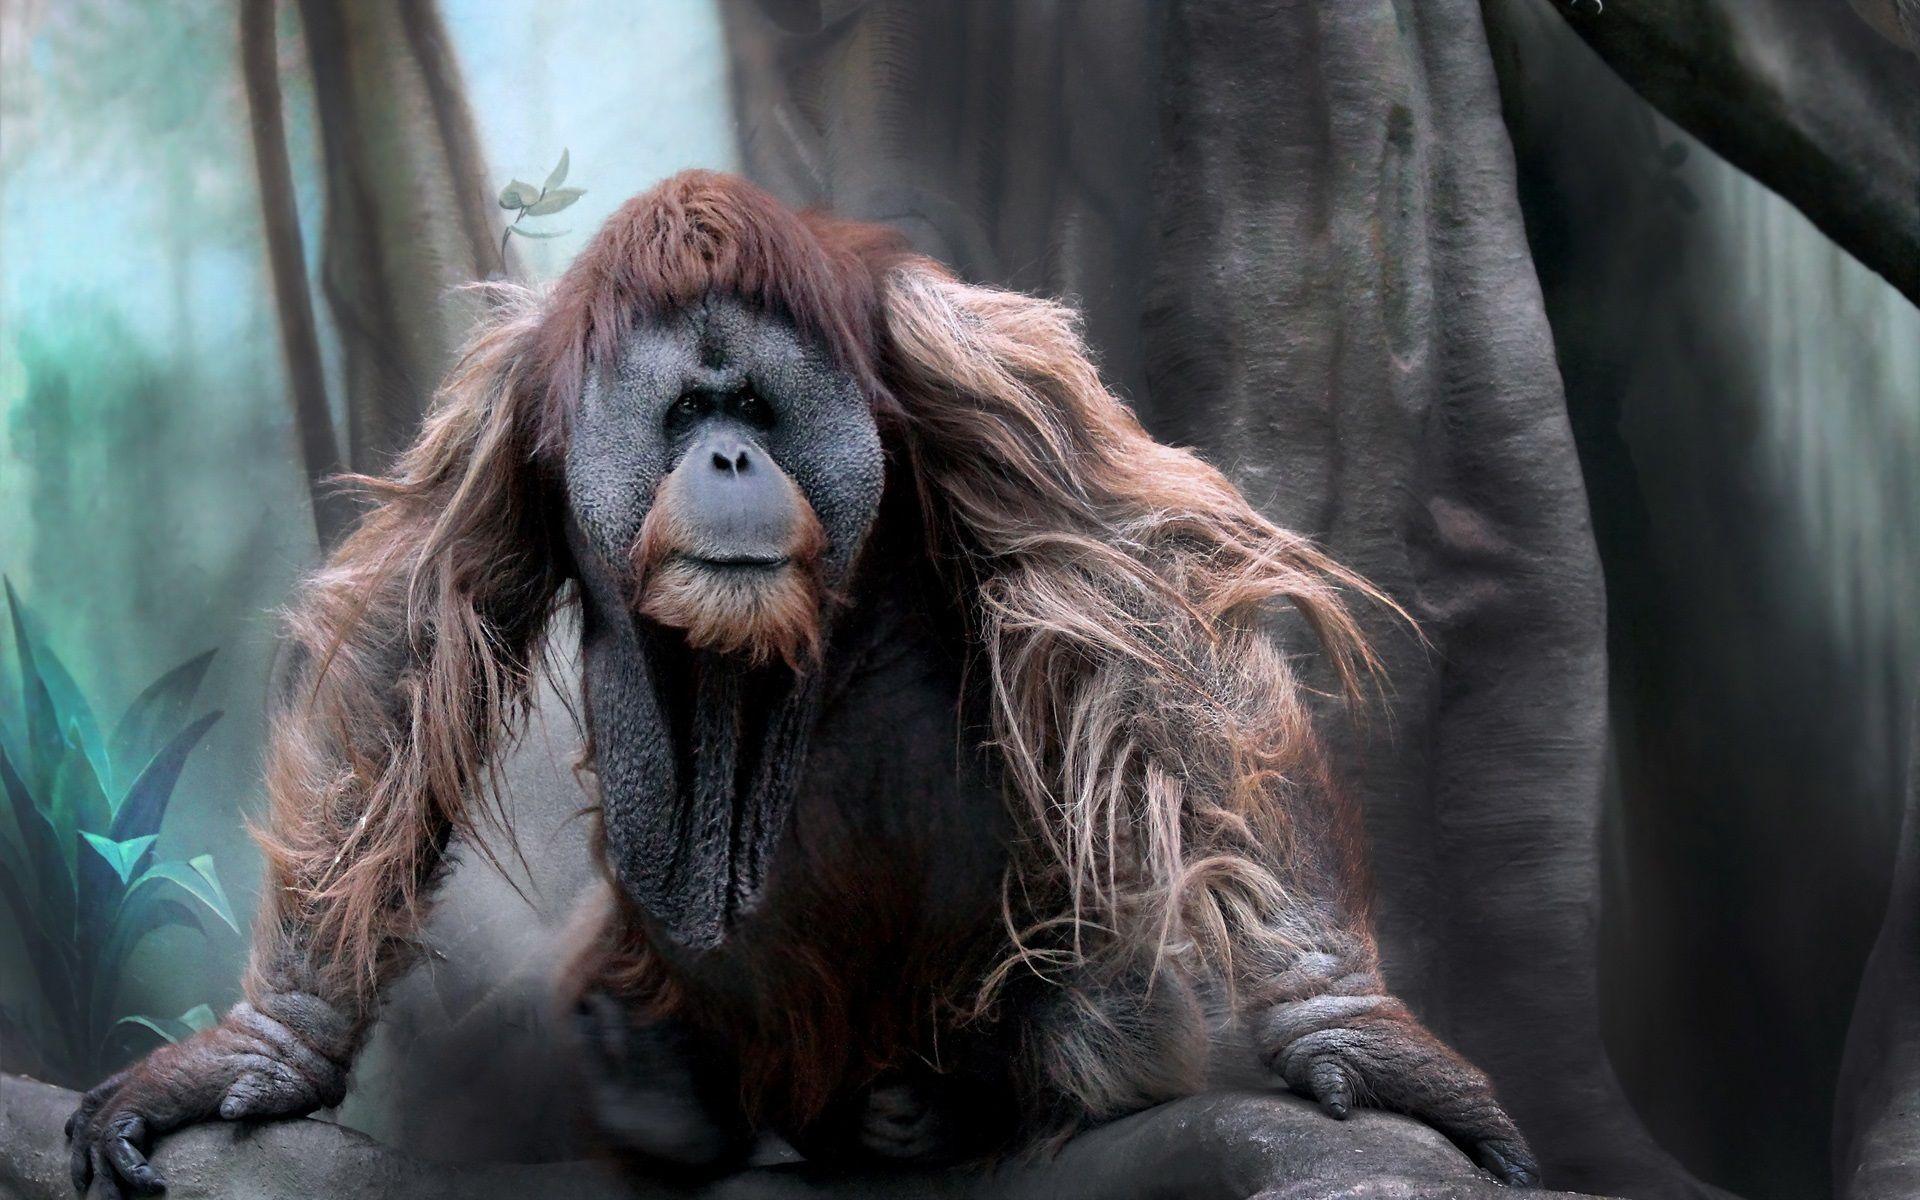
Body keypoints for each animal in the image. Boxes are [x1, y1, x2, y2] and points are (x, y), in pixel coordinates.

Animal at [64, 170, 1538, 1196]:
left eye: (758, 410)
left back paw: (958, 1099)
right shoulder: (503, 400)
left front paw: (1363, 1038)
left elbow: (1144, 595)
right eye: (685, 412)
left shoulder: (967, 356)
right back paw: (667, 1082)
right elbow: (408, 639)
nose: (726, 458)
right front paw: (260, 1051)